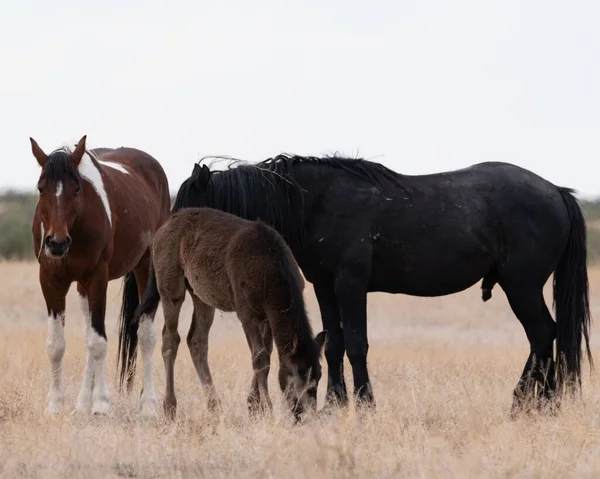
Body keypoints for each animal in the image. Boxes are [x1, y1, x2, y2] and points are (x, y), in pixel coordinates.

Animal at [30, 135, 171, 416]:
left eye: (76, 189)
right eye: (41, 189)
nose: (56, 243)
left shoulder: (97, 278)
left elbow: (98, 342)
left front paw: (102, 405)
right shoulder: (50, 281)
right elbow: (57, 345)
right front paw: (55, 405)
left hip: (146, 269)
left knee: (146, 335)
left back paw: (148, 406)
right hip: (82, 287)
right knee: (88, 335)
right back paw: (83, 402)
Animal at [119, 208, 326, 422]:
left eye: (318, 376)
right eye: (296, 375)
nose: (305, 415)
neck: (271, 272)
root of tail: (163, 228)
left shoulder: (268, 316)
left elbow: (266, 352)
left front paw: (254, 405)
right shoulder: (246, 312)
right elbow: (260, 357)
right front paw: (266, 408)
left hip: (200, 294)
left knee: (196, 339)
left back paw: (214, 406)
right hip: (170, 285)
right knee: (170, 338)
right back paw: (170, 406)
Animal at [150, 155, 592, 416]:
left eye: (188, 204)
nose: (165, 243)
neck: (315, 202)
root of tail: (556, 191)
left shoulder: (350, 284)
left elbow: (357, 343)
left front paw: (364, 404)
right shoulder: (325, 286)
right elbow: (335, 344)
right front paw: (334, 403)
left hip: (522, 287)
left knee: (543, 334)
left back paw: (526, 404)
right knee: (545, 337)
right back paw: (540, 403)